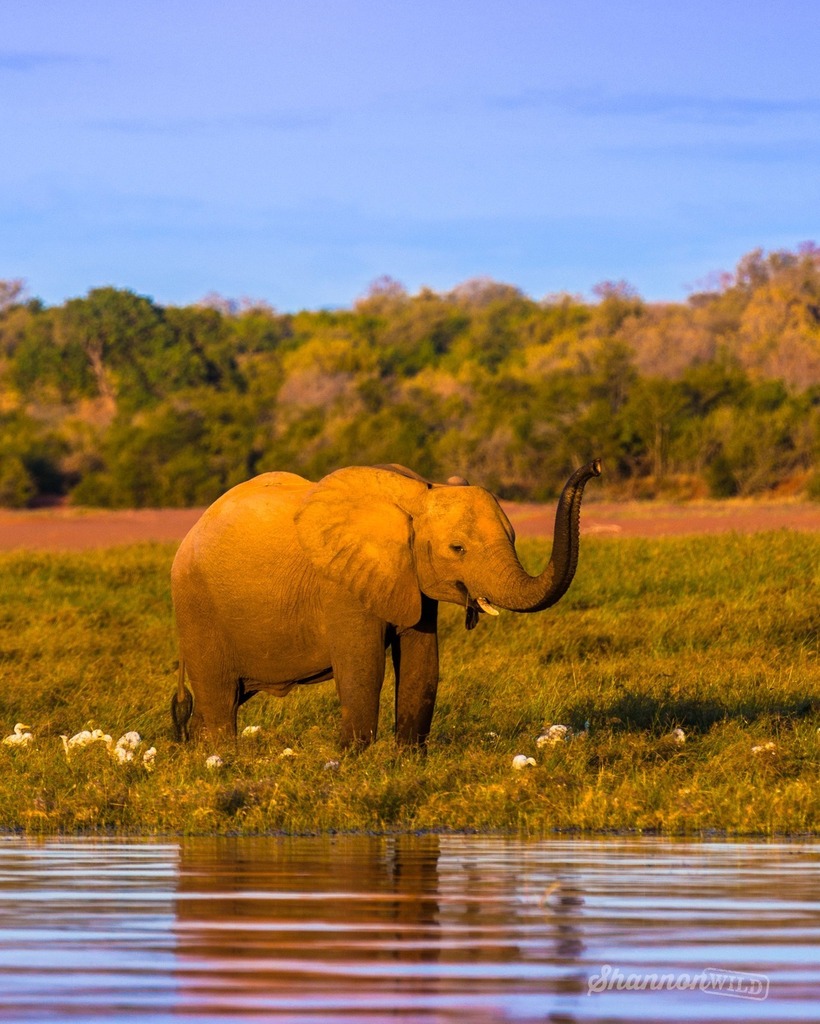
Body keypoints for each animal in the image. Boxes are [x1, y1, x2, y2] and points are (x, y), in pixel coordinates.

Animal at [170, 459, 601, 748]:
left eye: (512, 537)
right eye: (457, 549)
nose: (596, 465)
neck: (420, 491)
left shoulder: (412, 577)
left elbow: (421, 664)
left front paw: (408, 758)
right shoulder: (341, 583)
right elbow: (363, 668)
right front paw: (350, 759)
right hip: (196, 606)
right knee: (220, 701)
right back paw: (221, 759)